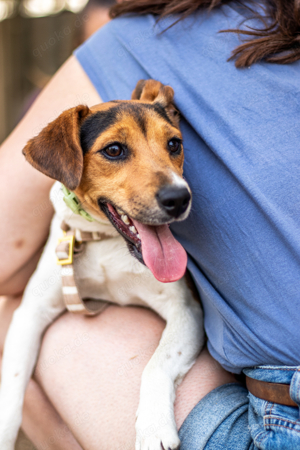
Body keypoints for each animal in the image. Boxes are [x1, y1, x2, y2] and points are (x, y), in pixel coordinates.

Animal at [0, 79, 204, 448]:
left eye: (174, 144)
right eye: (113, 150)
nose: (179, 198)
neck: (106, 241)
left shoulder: (187, 310)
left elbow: (157, 363)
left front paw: (153, 428)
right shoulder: (30, 312)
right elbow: (10, 399)